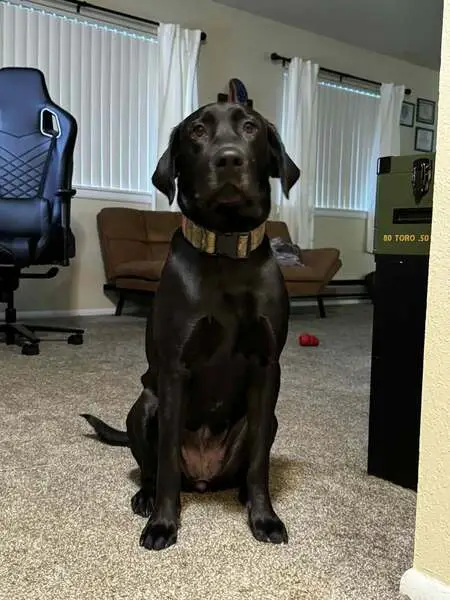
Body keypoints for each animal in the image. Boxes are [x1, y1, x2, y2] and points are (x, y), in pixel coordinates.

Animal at [81, 101, 300, 551]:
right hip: (144, 406)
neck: (226, 247)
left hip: (268, 419)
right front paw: (163, 524)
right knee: (152, 467)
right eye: (197, 130)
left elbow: (259, 463)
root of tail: (202, 479)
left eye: (250, 127)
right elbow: (164, 462)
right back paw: (146, 497)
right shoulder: (174, 371)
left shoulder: (268, 367)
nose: (229, 158)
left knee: (249, 463)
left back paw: (243, 493)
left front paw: (264, 518)